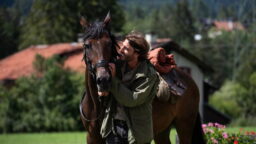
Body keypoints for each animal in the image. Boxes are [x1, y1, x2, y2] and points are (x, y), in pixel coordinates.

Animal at [79, 12, 205, 143]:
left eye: (109, 43)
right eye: (87, 45)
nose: (103, 79)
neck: (96, 106)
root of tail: (190, 82)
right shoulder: (92, 137)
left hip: (184, 126)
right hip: (162, 132)